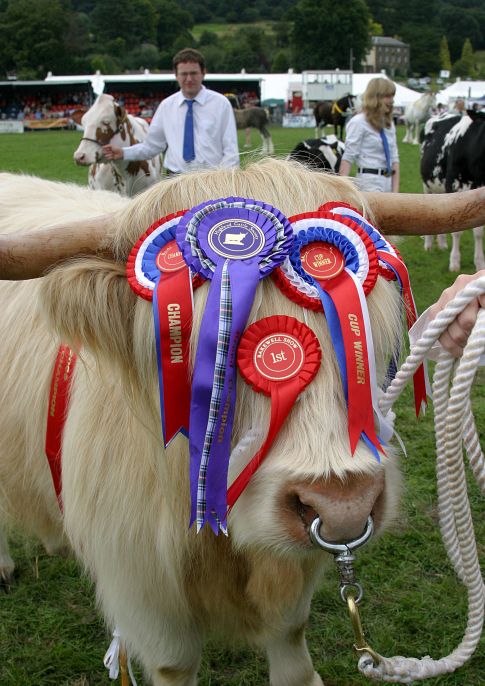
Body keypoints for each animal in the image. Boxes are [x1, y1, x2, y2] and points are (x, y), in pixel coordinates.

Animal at [0, 164, 484, 684]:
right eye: (196, 346)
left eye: (363, 335)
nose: (343, 504)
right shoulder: (145, 597)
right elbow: (173, 664)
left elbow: (292, 650)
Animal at [418, 111, 482, 272]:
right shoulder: (454, 187)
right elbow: (457, 231)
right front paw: (454, 262)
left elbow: (478, 233)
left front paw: (480, 263)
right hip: (427, 185)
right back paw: (428, 245)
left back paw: (442, 244)